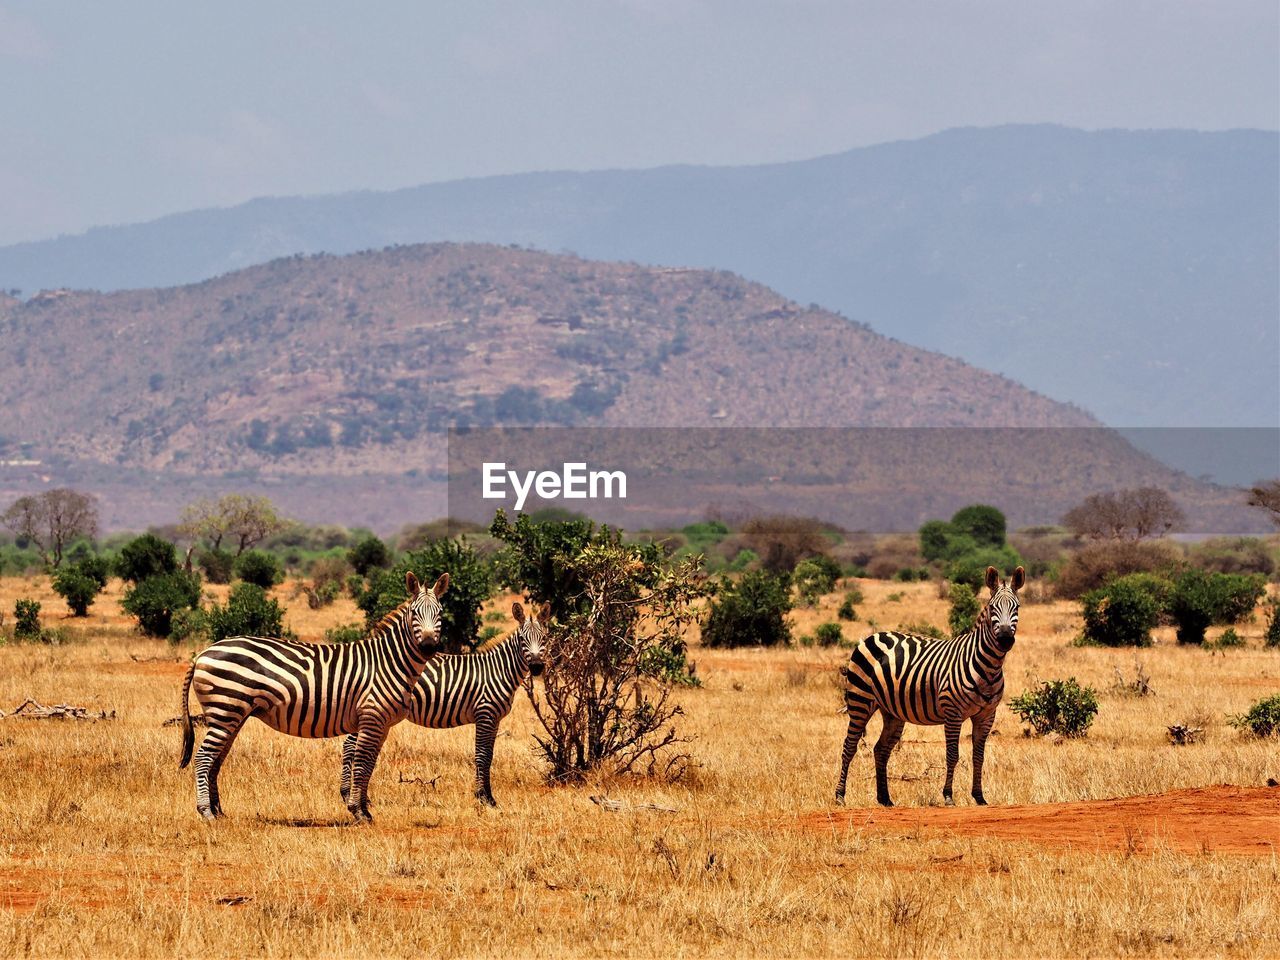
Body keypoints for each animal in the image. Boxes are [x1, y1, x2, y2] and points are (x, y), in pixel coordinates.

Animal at [177, 570, 450, 829]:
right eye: (414, 613)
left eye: (440, 613)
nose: (428, 646)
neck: (391, 662)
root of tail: (203, 652)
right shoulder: (371, 717)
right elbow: (362, 763)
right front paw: (358, 812)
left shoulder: (382, 725)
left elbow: (370, 764)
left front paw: (365, 810)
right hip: (225, 709)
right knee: (203, 757)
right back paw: (206, 812)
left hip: (232, 714)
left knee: (216, 758)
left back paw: (218, 811)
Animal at [345, 601, 550, 814]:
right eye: (523, 639)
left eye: (544, 638)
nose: (536, 667)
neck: (499, 671)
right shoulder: (484, 714)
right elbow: (482, 755)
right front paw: (483, 797)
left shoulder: (495, 719)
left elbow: (489, 756)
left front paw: (488, 797)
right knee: (350, 746)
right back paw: (349, 796)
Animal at [834, 568, 1024, 808]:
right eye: (992, 608)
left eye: (1017, 607)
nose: (1006, 639)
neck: (988, 667)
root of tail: (873, 635)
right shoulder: (953, 712)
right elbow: (952, 754)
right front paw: (948, 796)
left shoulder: (987, 715)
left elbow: (978, 756)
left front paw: (979, 797)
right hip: (860, 700)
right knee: (849, 746)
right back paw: (840, 796)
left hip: (891, 711)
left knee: (881, 749)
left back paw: (885, 798)